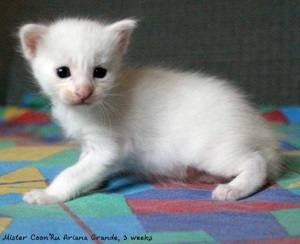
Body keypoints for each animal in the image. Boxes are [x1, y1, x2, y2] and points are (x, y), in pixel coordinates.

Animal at [18, 17, 282, 204]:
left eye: (99, 72)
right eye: (62, 72)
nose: (84, 91)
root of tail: (257, 126)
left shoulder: (110, 147)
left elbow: (73, 172)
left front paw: (49, 194)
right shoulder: (90, 146)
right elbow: (84, 167)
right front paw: (91, 184)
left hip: (214, 151)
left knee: (255, 161)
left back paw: (234, 188)